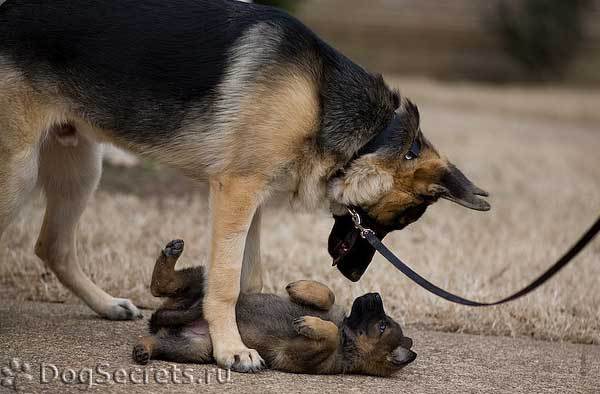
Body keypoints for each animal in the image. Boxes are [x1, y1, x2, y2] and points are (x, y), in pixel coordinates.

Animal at [134, 240, 418, 376]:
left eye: (382, 325)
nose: (374, 294)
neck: (348, 337)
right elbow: (329, 294)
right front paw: (301, 287)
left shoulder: (296, 356)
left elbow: (329, 334)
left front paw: (312, 325)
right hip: (201, 282)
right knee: (163, 285)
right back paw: (170, 253)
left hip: (193, 347)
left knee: (158, 331)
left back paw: (144, 349)